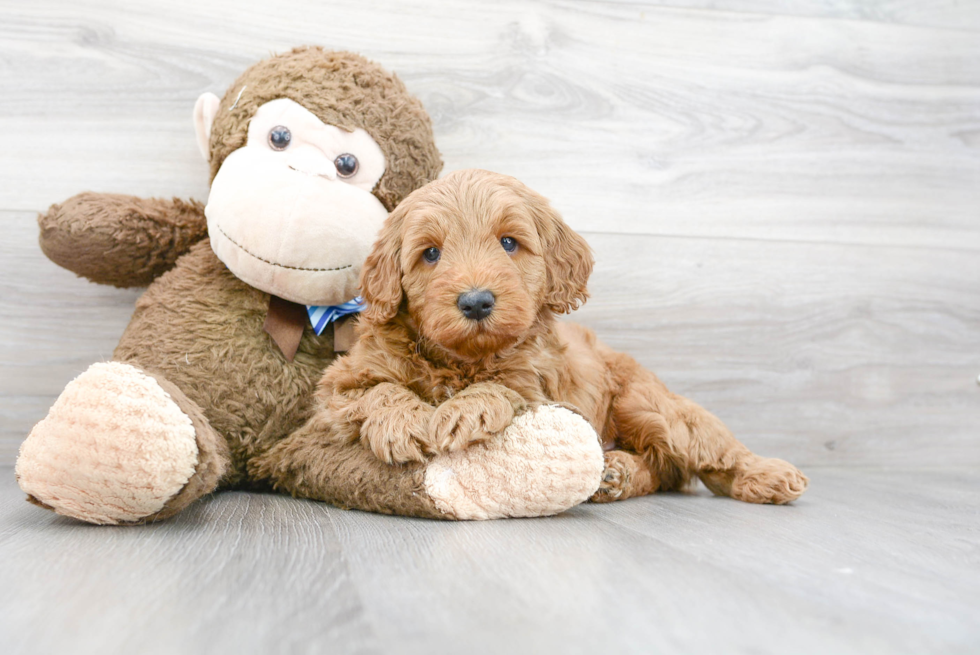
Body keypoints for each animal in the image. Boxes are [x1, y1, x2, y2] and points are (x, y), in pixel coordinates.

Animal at [294, 172, 808, 504]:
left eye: (508, 243)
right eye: (431, 254)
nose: (476, 302)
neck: (460, 360)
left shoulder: (539, 384)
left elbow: (503, 387)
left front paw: (464, 411)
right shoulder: (338, 386)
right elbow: (377, 390)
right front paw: (403, 425)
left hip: (646, 402)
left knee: (704, 449)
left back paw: (770, 475)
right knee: (665, 469)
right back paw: (617, 474)